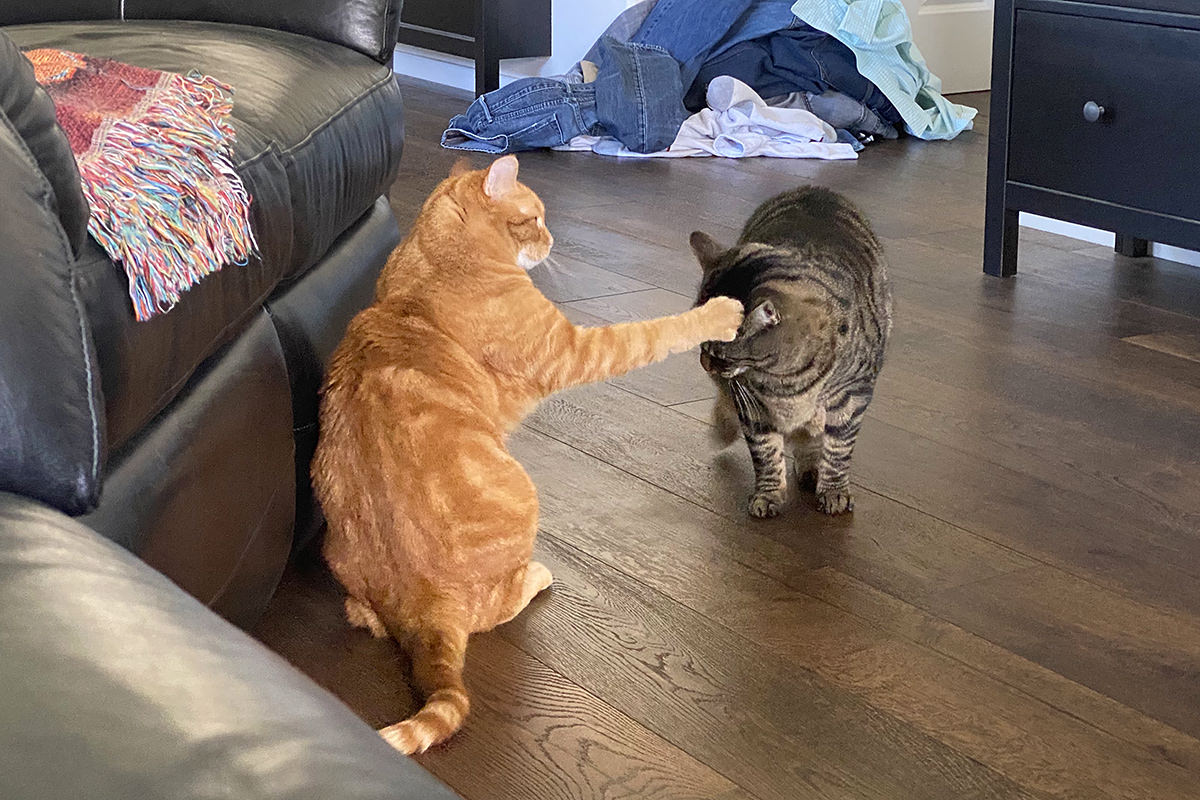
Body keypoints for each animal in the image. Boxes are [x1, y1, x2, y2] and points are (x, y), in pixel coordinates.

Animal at [312, 153, 739, 753]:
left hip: (339, 558)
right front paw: (720, 314)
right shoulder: (576, 350)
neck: (437, 262)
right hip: (523, 501)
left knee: (365, 617)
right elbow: (651, 334)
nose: (552, 238)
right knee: (494, 609)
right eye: (534, 217)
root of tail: (422, 609)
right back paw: (536, 576)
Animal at [696, 184, 892, 515]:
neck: (786, 380)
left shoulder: (852, 396)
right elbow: (765, 453)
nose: (703, 363)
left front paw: (834, 491)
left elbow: (839, 449)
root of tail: (813, 188)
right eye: (699, 341)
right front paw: (768, 495)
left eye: (716, 351)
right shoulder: (753, 406)